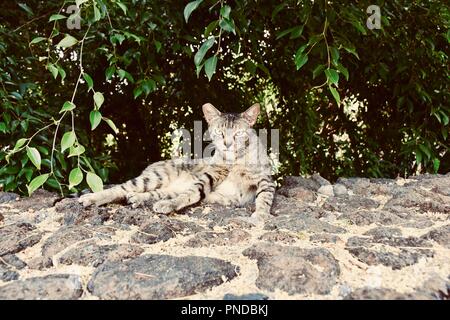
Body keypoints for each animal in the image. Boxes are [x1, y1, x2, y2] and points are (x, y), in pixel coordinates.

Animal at [80, 102, 278, 225]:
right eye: (219, 133)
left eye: (238, 134)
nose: (227, 144)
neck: (234, 161)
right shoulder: (210, 175)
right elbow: (192, 192)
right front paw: (172, 205)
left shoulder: (266, 180)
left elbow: (264, 198)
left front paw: (260, 215)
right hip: (153, 178)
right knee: (119, 188)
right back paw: (92, 198)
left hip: (166, 188)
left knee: (151, 193)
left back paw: (137, 198)